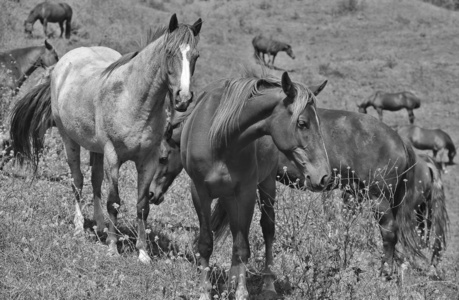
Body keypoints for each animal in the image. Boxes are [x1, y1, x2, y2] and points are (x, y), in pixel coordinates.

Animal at [8, 14, 203, 262]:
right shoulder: (113, 156)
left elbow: (142, 205)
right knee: (78, 181)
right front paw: (112, 247)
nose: (183, 98)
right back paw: (79, 228)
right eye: (169, 53)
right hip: (69, 140)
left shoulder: (147, 160)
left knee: (95, 180)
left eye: (195, 56)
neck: (133, 99)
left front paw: (143, 253)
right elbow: (114, 201)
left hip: (96, 149)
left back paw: (99, 225)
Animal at [151, 103, 424, 296]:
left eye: (162, 157)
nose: (152, 194)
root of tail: (400, 140)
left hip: (379, 199)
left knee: (389, 233)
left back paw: (384, 274)